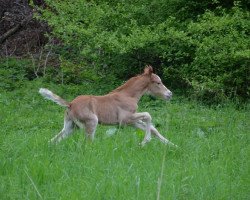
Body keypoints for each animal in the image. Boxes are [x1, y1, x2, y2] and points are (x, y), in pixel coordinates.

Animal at [39, 66, 176, 146]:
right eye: (158, 83)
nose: (170, 94)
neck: (128, 95)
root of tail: (70, 104)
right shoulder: (125, 119)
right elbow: (148, 115)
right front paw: (145, 141)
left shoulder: (130, 122)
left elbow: (152, 128)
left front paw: (172, 145)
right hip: (91, 122)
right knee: (88, 143)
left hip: (70, 126)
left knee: (54, 140)